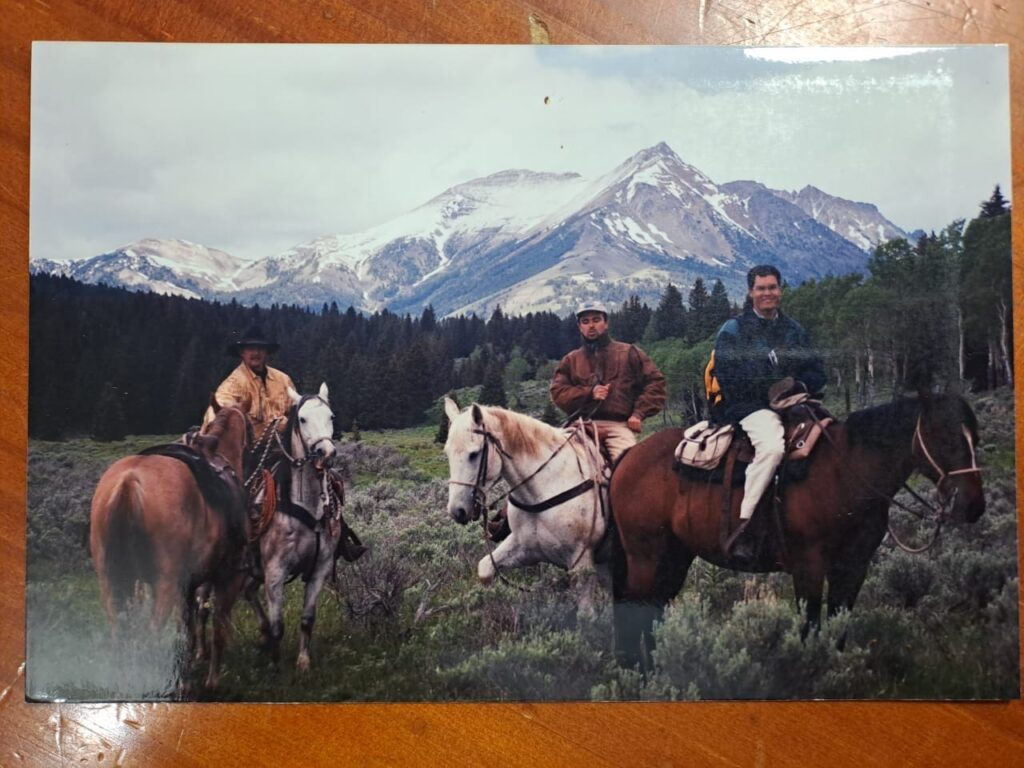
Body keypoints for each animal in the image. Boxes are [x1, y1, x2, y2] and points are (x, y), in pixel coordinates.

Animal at [91, 403, 252, 692]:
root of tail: (128, 483)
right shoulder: (228, 578)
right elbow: (218, 629)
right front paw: (212, 681)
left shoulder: (187, 587)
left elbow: (186, 630)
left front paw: (186, 676)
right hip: (162, 585)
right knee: (151, 637)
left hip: (112, 582)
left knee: (121, 633)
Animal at [245, 385, 346, 671]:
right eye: (302, 419)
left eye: (331, 416)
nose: (327, 453)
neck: (306, 507)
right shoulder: (275, 572)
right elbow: (278, 625)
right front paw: (274, 666)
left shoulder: (319, 569)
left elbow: (307, 618)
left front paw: (303, 662)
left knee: (247, 592)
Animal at [440, 399, 606, 610]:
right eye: (447, 453)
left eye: (474, 454)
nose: (457, 510)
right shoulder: (525, 548)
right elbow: (485, 569)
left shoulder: (582, 562)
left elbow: (585, 613)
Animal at [606, 393, 983, 671]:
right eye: (945, 436)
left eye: (975, 437)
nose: (973, 506)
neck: (845, 472)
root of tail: (630, 456)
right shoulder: (808, 566)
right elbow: (809, 626)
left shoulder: (853, 567)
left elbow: (838, 626)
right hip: (646, 557)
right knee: (634, 612)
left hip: (674, 558)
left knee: (653, 611)